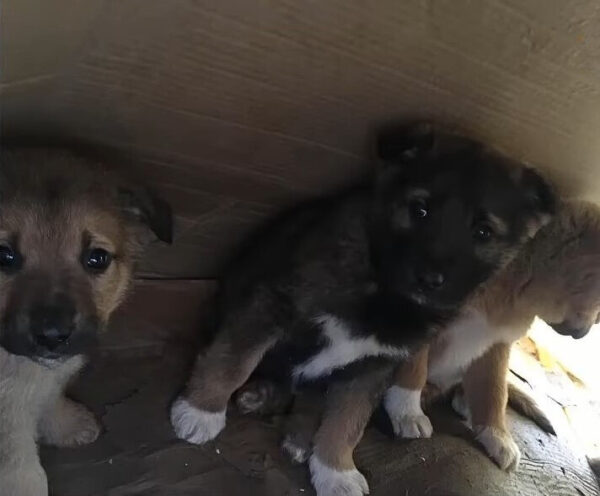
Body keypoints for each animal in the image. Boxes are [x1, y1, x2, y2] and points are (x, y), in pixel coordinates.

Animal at [0, 148, 173, 496]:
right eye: (3, 256)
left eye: (97, 258)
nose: (52, 336)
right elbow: (16, 456)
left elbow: (49, 398)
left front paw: (66, 425)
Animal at [171, 124, 556, 496]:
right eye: (420, 209)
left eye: (483, 232)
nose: (429, 280)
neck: (384, 290)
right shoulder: (271, 303)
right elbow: (233, 362)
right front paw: (201, 410)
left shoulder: (373, 366)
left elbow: (348, 423)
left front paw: (336, 471)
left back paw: (295, 432)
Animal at [384, 200, 600, 470]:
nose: (588, 331)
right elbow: (415, 367)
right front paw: (407, 410)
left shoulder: (496, 344)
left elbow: (495, 390)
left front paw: (497, 435)